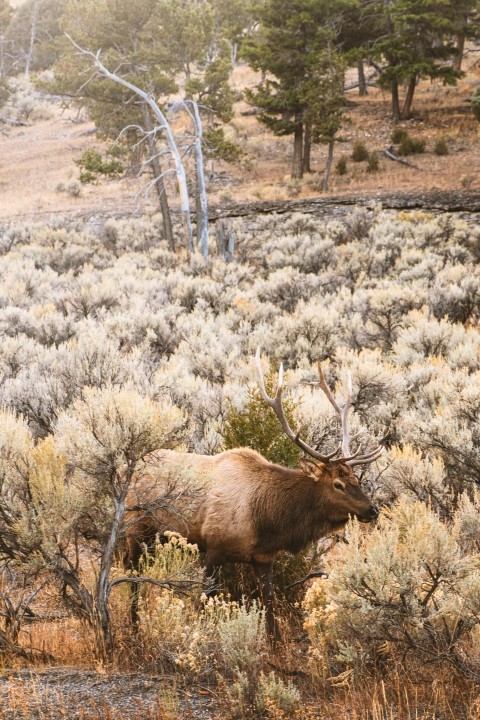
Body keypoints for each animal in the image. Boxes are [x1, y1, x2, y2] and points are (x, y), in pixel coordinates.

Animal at [124, 349, 382, 638]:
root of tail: (128, 469)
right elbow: (203, 600)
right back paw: (133, 626)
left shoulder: (263, 558)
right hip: (137, 528)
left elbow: (270, 609)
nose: (372, 510)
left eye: (356, 479)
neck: (266, 522)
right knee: (131, 572)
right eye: (338, 484)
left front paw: (274, 643)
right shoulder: (214, 546)